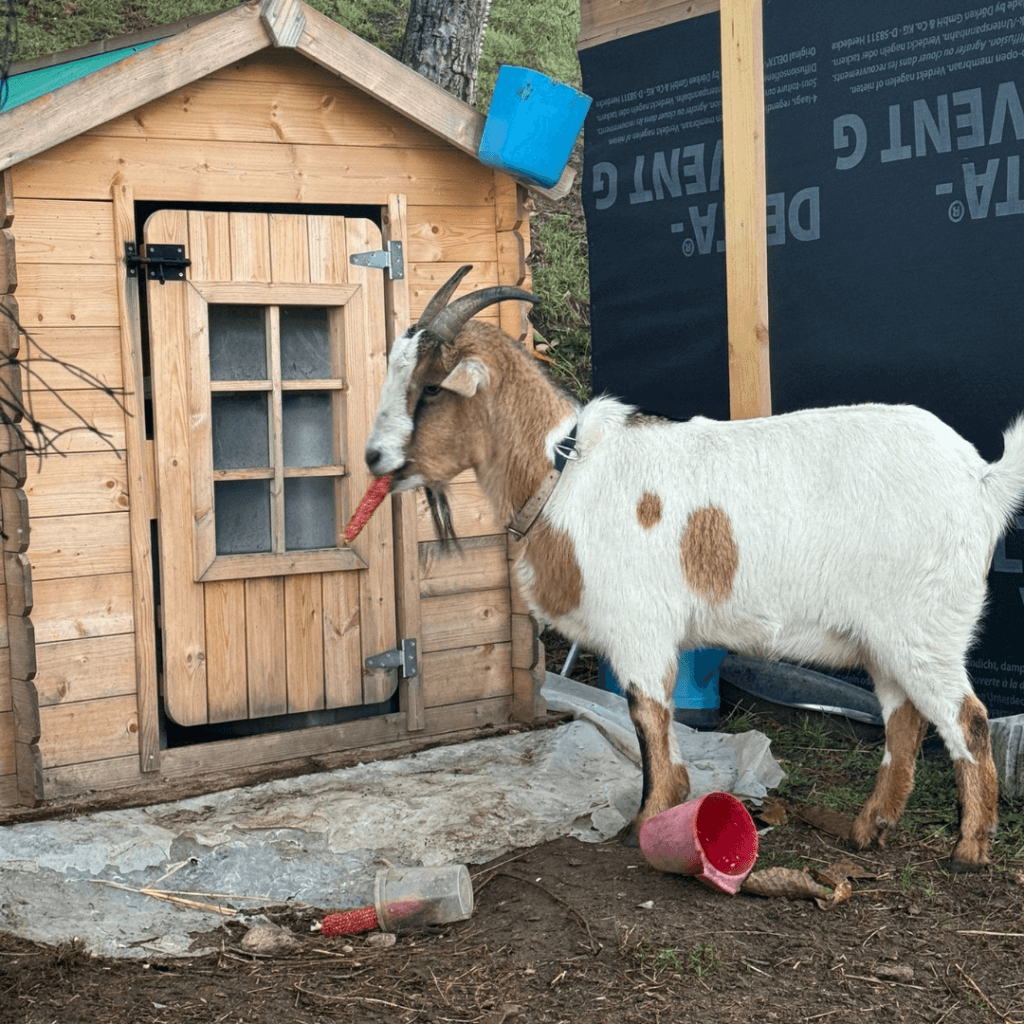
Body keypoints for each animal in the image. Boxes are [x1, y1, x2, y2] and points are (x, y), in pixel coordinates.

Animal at [365, 265, 1024, 869]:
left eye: (430, 389)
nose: (373, 457)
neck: (563, 474)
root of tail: (981, 480)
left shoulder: (639, 626)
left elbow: (648, 715)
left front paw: (650, 818)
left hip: (923, 628)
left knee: (967, 720)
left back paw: (969, 849)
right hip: (887, 637)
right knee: (905, 718)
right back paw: (869, 828)